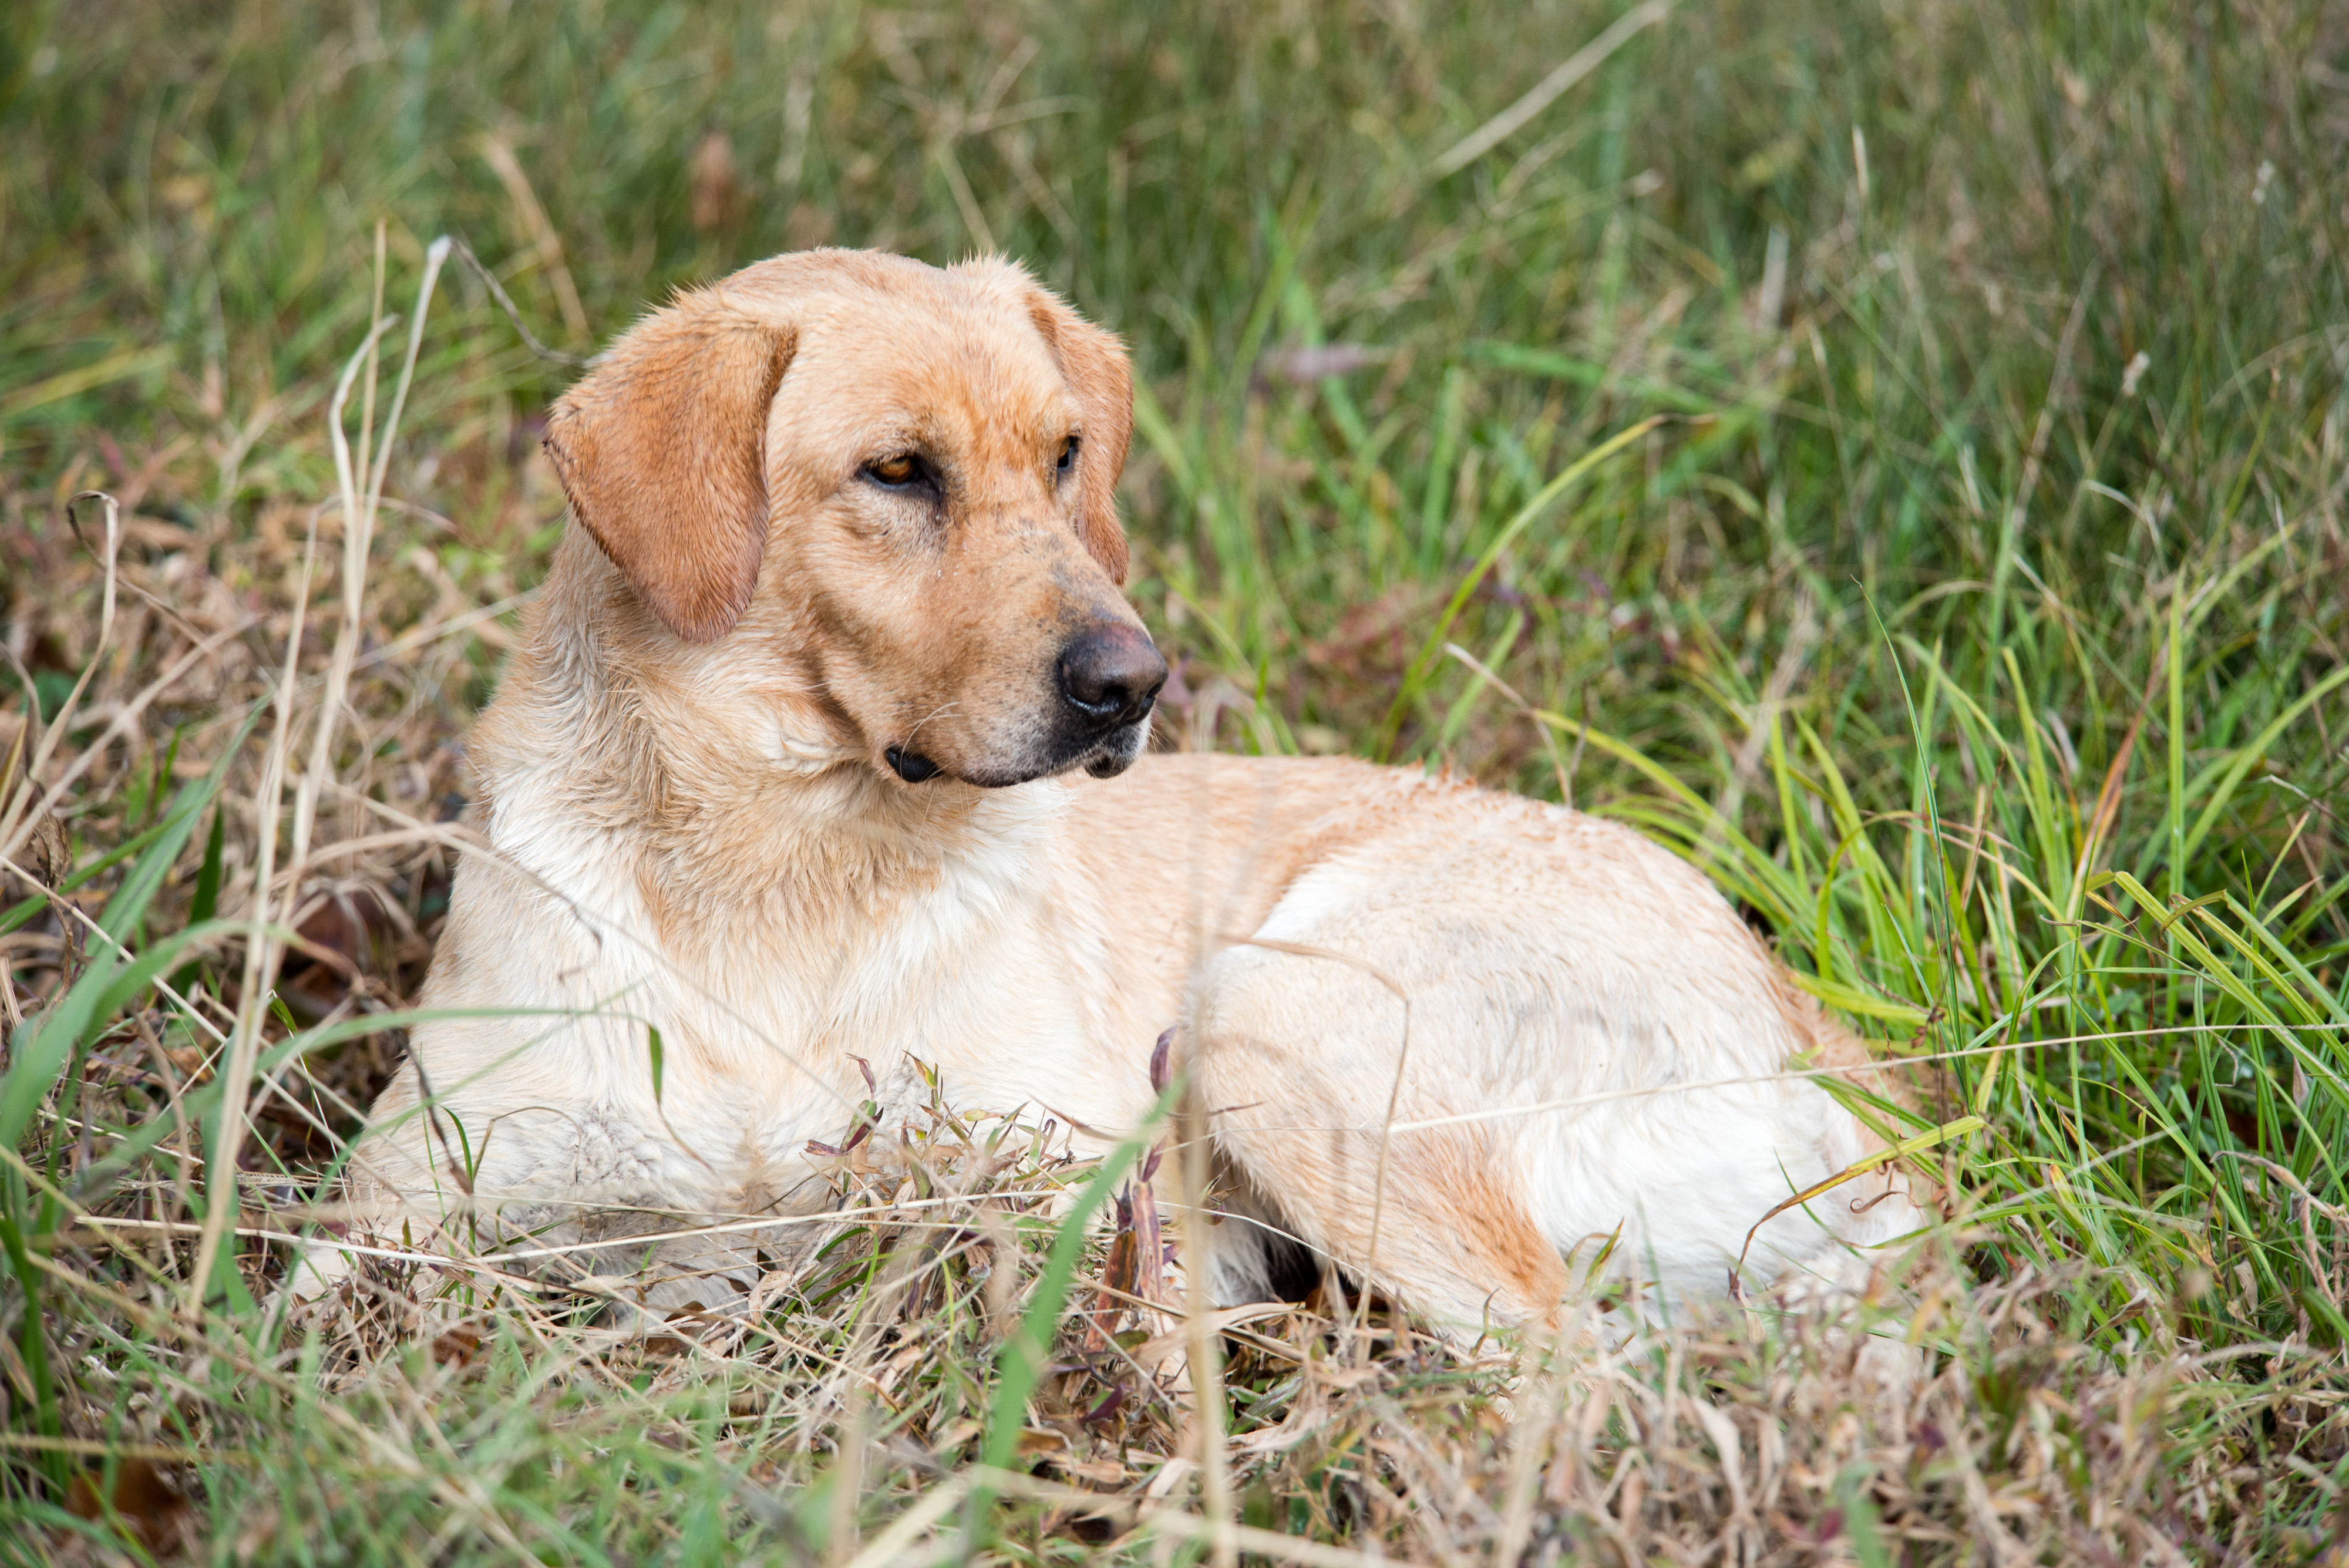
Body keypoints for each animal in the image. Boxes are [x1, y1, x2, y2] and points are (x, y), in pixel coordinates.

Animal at [298, 247, 1926, 1333]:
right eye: (898, 472)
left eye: (1067, 453)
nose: (1133, 684)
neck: (779, 858)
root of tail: (1834, 1060)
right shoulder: (392, 1217)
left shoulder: (1093, 1206)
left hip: (1271, 1016)